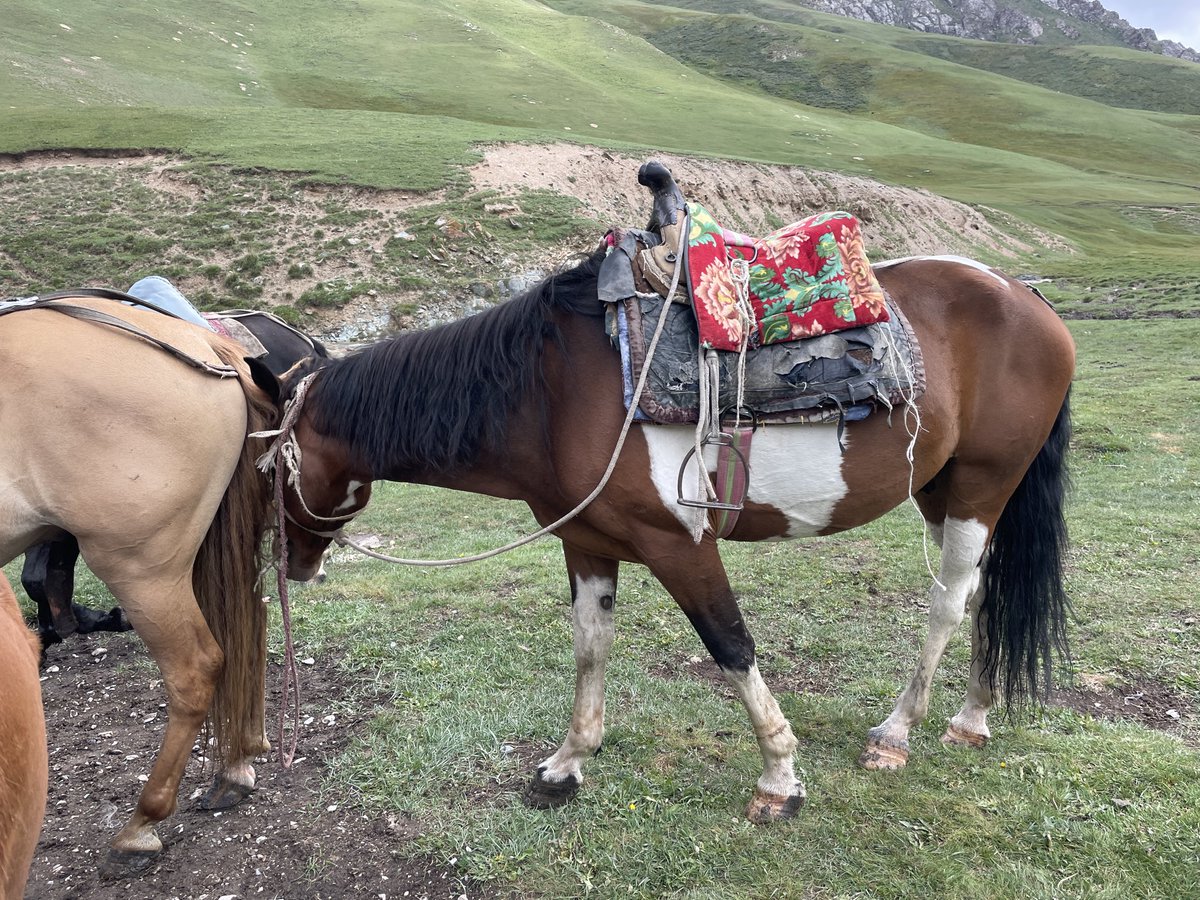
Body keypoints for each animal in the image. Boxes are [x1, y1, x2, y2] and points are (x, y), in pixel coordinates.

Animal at [0, 297, 274, 875]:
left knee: (196, 667)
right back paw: (237, 764)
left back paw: (141, 825)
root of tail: (202, 343)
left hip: (141, 568)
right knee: (248, 627)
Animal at [255, 207, 1074, 821]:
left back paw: (898, 732)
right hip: (939, 490)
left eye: (267, 468)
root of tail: (1027, 295)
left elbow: (730, 644)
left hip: (983, 487)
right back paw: (972, 717)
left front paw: (780, 776)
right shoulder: (585, 542)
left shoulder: (680, 543)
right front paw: (567, 764)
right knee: (982, 595)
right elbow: (591, 648)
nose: (292, 565)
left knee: (947, 601)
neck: (547, 392)